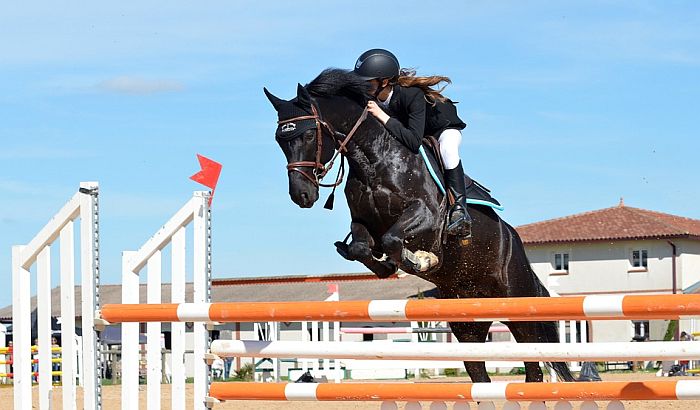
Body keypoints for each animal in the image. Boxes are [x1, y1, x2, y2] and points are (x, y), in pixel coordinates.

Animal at [262, 68, 576, 384]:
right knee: (480, 373)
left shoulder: (426, 216)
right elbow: (362, 247)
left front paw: (422, 260)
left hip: (519, 306)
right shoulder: (364, 223)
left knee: (534, 367)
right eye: (279, 140)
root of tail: (514, 238)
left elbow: (393, 239)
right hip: (468, 323)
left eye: (309, 133)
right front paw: (388, 266)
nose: (301, 195)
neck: (374, 159)